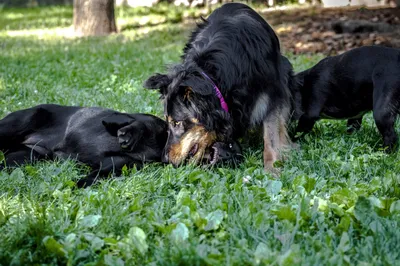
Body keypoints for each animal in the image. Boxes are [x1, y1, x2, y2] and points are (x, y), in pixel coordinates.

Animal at [0, 104, 242, 187]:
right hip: (18, 123)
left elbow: (97, 175)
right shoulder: (137, 119)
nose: (233, 155)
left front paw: (80, 184)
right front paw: (127, 135)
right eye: (230, 145)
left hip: (25, 156)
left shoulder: (117, 164)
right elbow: (137, 124)